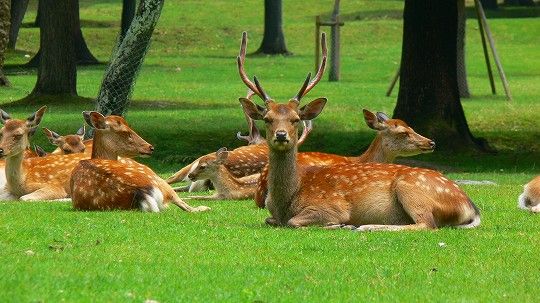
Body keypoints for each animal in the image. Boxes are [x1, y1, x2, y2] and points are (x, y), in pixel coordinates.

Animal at [69, 111, 209, 214]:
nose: (150, 147)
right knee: (186, 206)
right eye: (125, 132)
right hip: (158, 179)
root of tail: (142, 192)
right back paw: (204, 207)